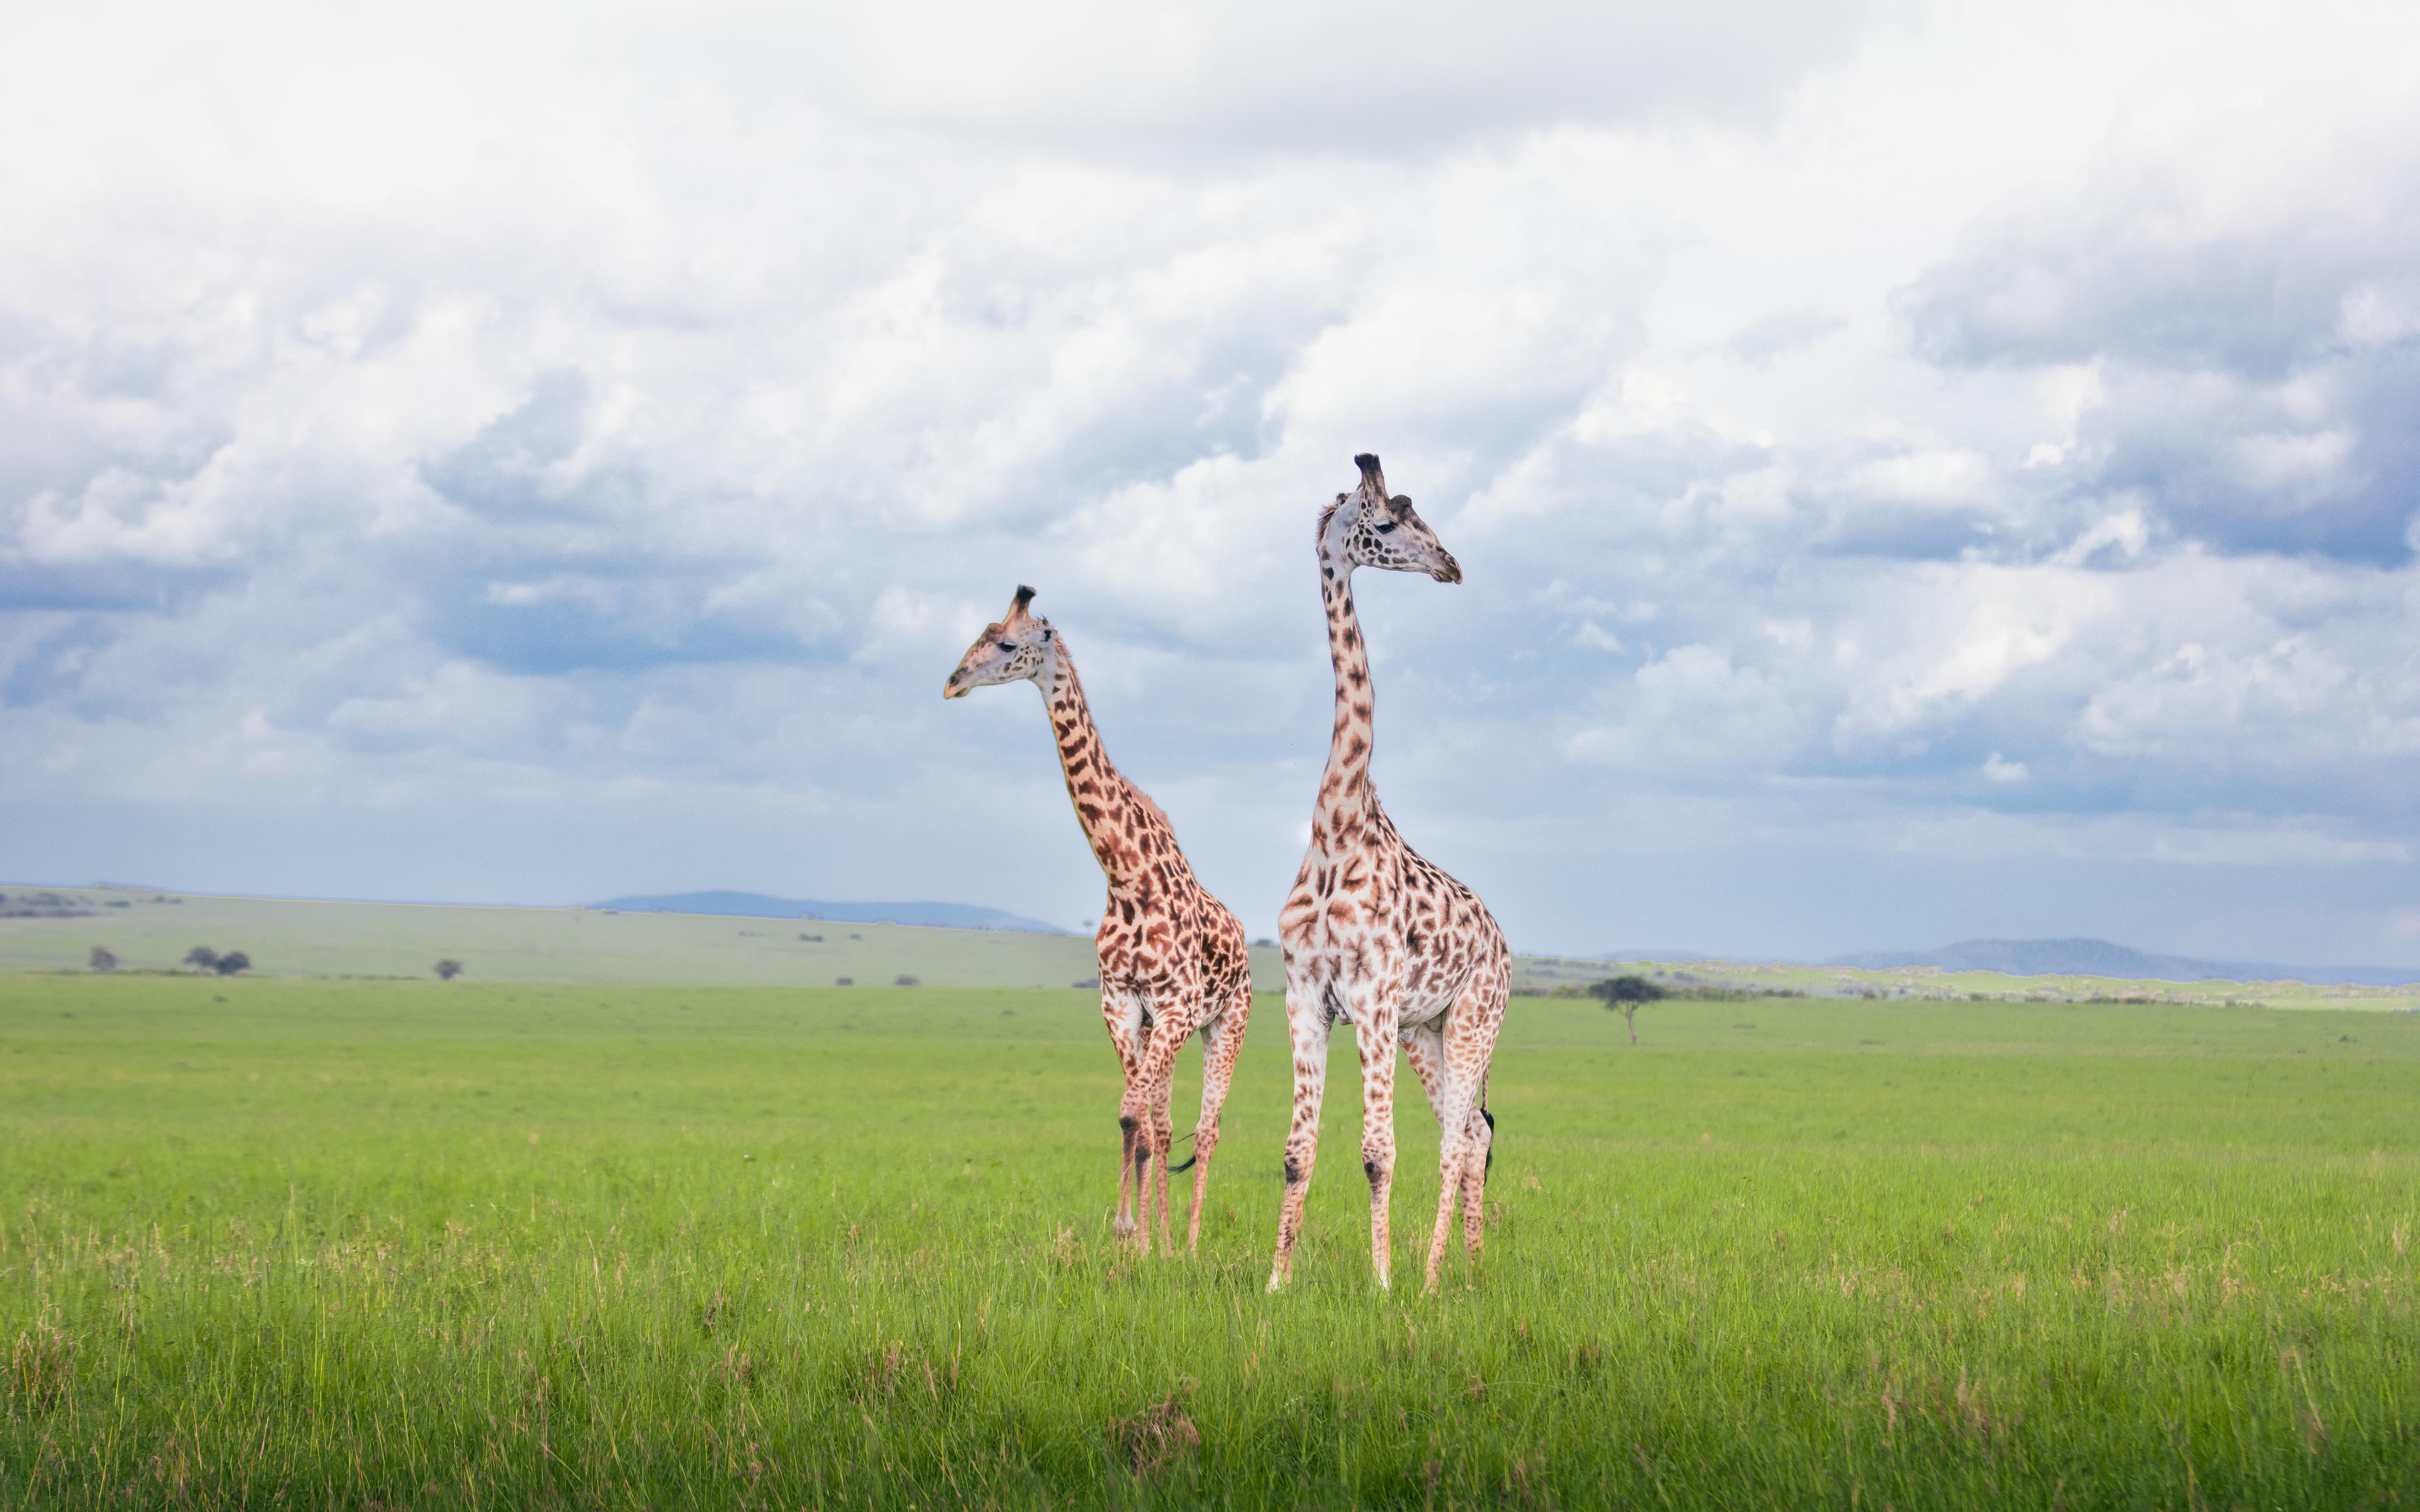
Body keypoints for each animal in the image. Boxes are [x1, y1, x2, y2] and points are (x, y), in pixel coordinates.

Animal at [944, 586, 1253, 1254]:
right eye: (980, 635)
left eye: (1007, 643)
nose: (953, 683)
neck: (1125, 875)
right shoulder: (1122, 1003)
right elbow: (1134, 1119)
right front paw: (1137, 1240)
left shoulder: (1176, 1005)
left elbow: (1136, 1115)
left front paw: (1137, 1234)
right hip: (1169, 1029)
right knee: (1165, 1122)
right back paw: (1167, 1239)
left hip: (1225, 1023)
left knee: (1206, 1128)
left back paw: (1191, 1244)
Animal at [1267, 454, 1512, 1293]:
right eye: (1391, 521)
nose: (1452, 565)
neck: (1337, 827)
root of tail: (1504, 944)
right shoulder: (1307, 995)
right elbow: (1297, 1153)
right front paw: (1275, 1283)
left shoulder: (1372, 995)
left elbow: (1378, 1153)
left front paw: (1380, 1285)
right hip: (1426, 1031)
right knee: (1471, 1134)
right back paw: (1469, 1267)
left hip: (1474, 1018)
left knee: (1457, 1139)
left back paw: (1435, 1279)